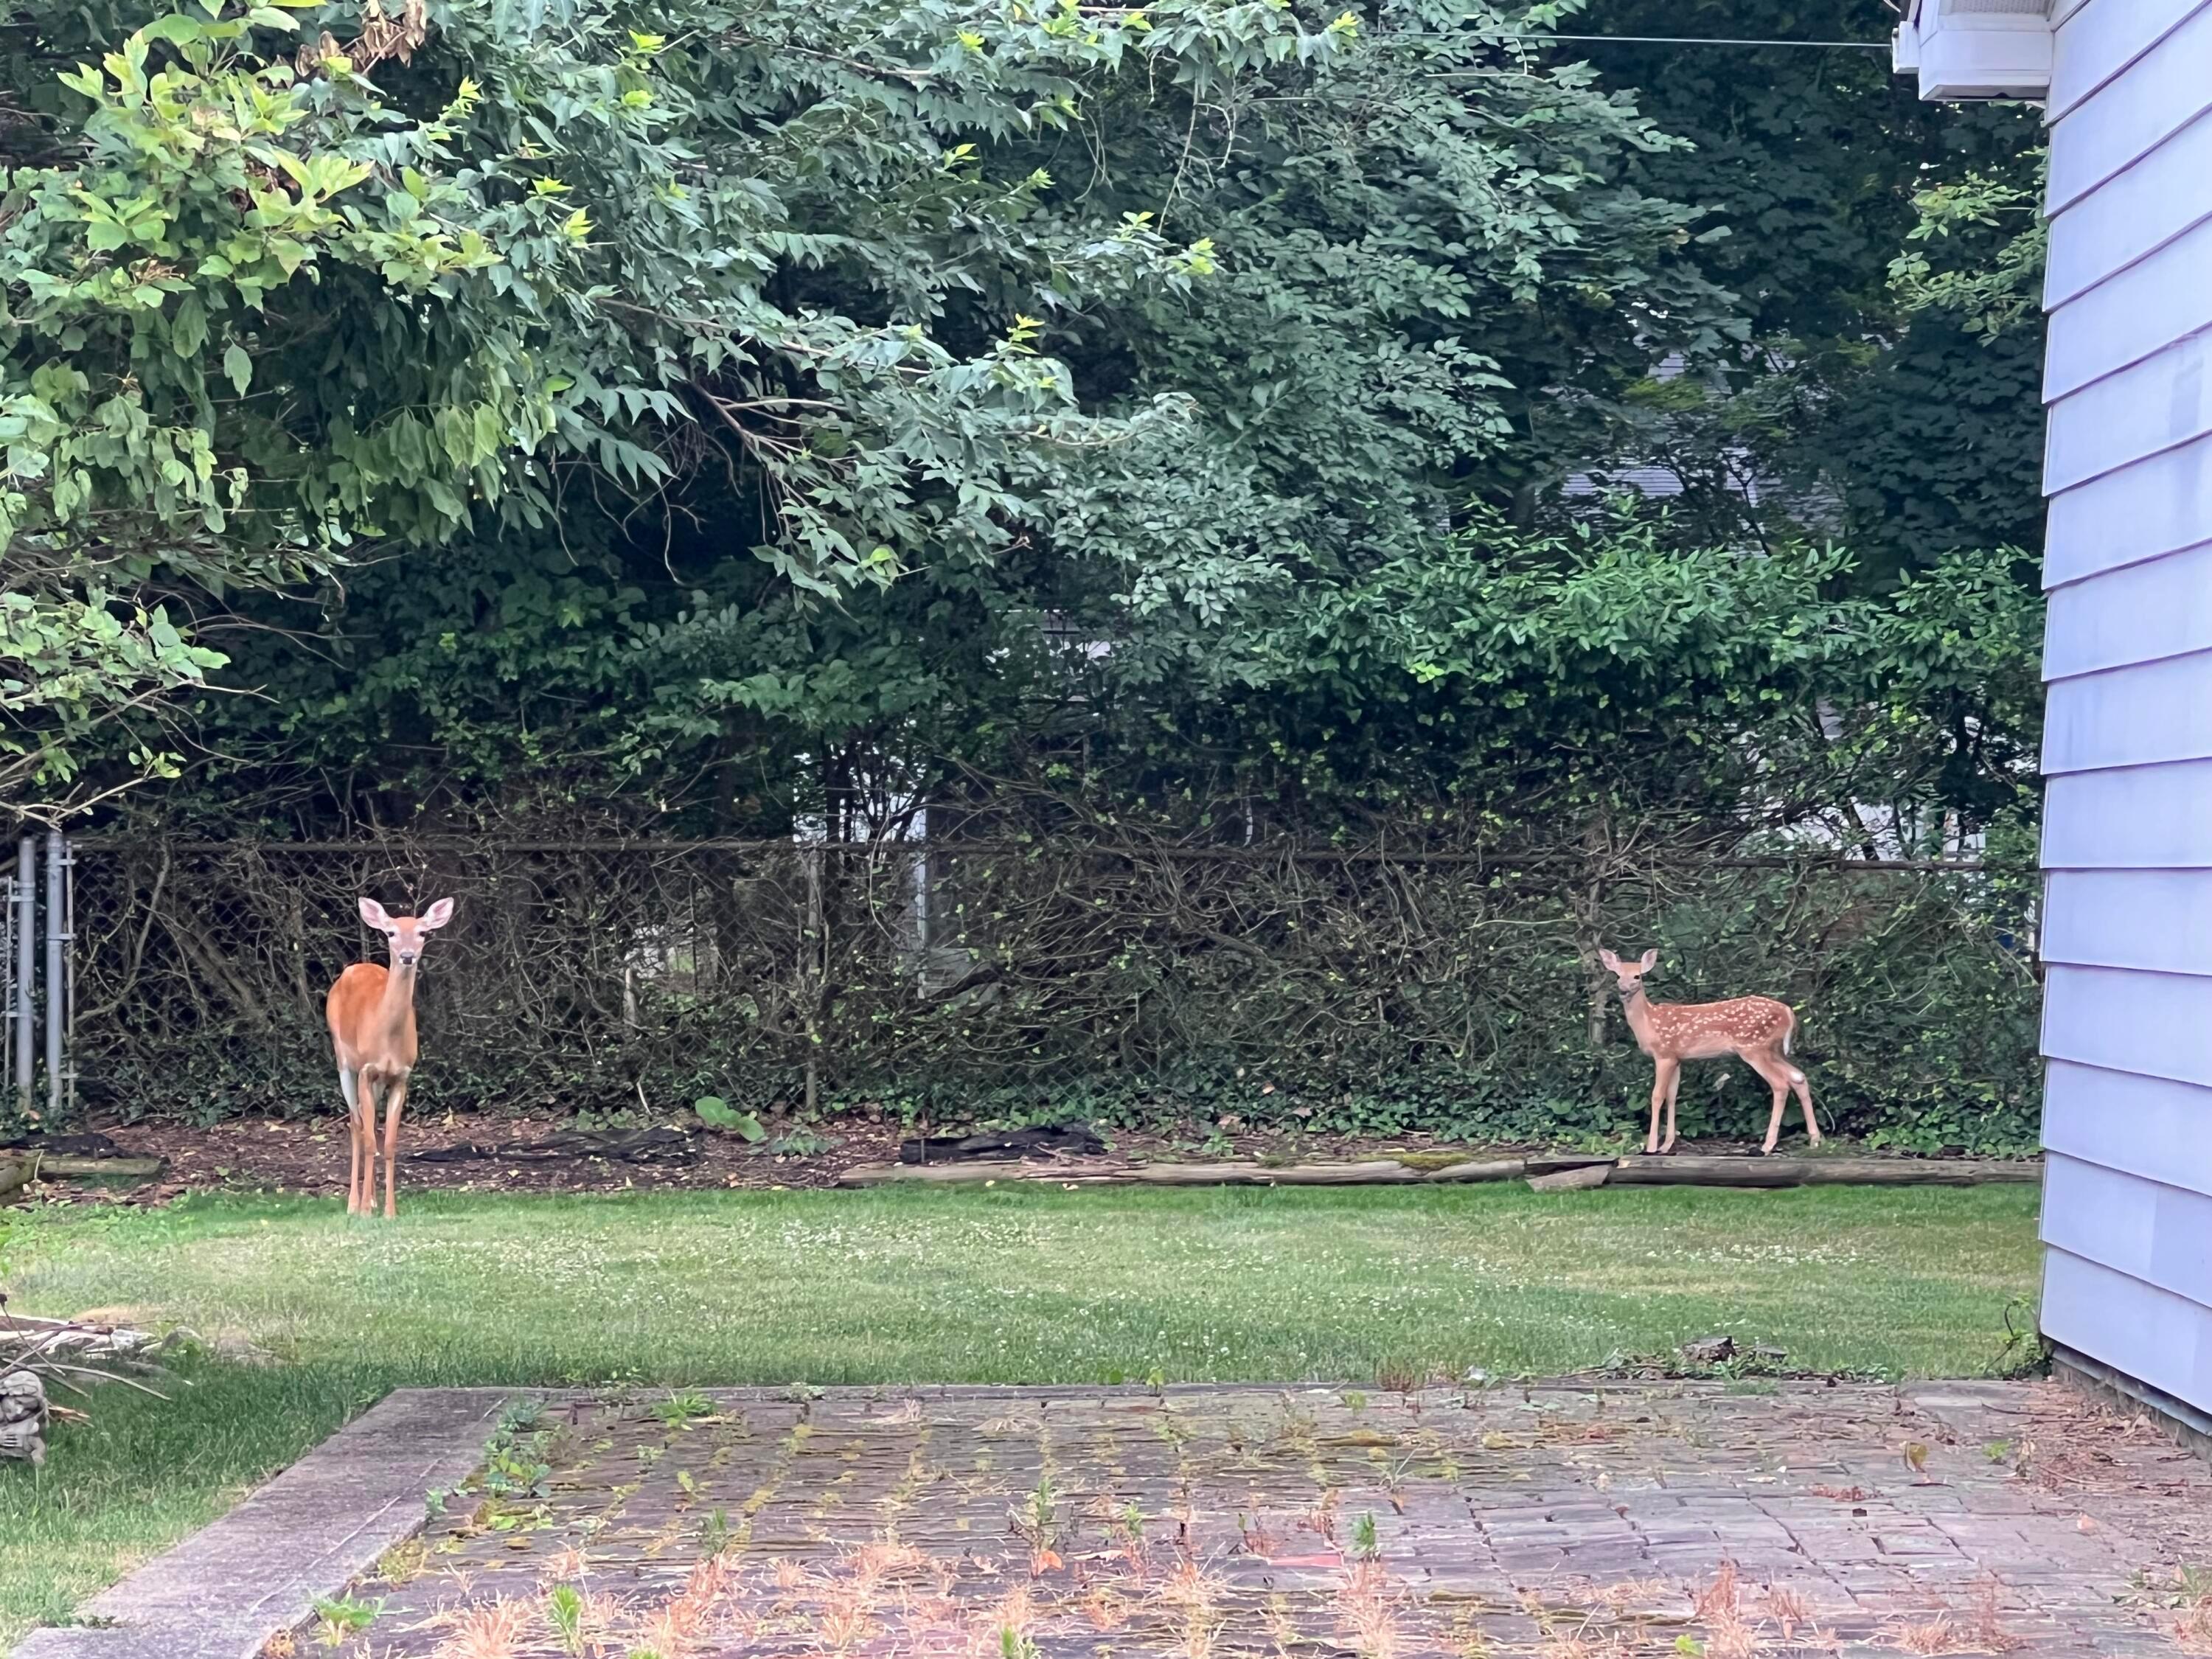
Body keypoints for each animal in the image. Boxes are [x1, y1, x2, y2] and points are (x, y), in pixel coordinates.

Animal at [327, 896, 454, 1218]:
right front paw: (364, 1210)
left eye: (422, 932)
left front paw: (389, 1211)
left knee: (368, 1125)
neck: (388, 1039)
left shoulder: (401, 1077)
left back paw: (370, 1199)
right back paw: (354, 1203)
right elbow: (370, 1140)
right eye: (391, 933)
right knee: (356, 1124)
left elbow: (389, 1143)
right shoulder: (366, 1069)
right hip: (343, 1060)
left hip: (376, 1083)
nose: (407, 956)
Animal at [1598, 947, 1820, 1157]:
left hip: (1754, 1047)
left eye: (1638, 976)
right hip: (1773, 1050)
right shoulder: (1677, 1058)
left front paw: (1651, 1147)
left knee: (1781, 1084)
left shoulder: (1664, 1054)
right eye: (1618, 975)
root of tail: (1789, 1013)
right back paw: (1815, 1140)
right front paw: (1667, 1146)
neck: (1648, 1022)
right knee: (1799, 1077)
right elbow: (1672, 1096)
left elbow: (1657, 1096)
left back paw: (1767, 1146)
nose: (1623, 990)